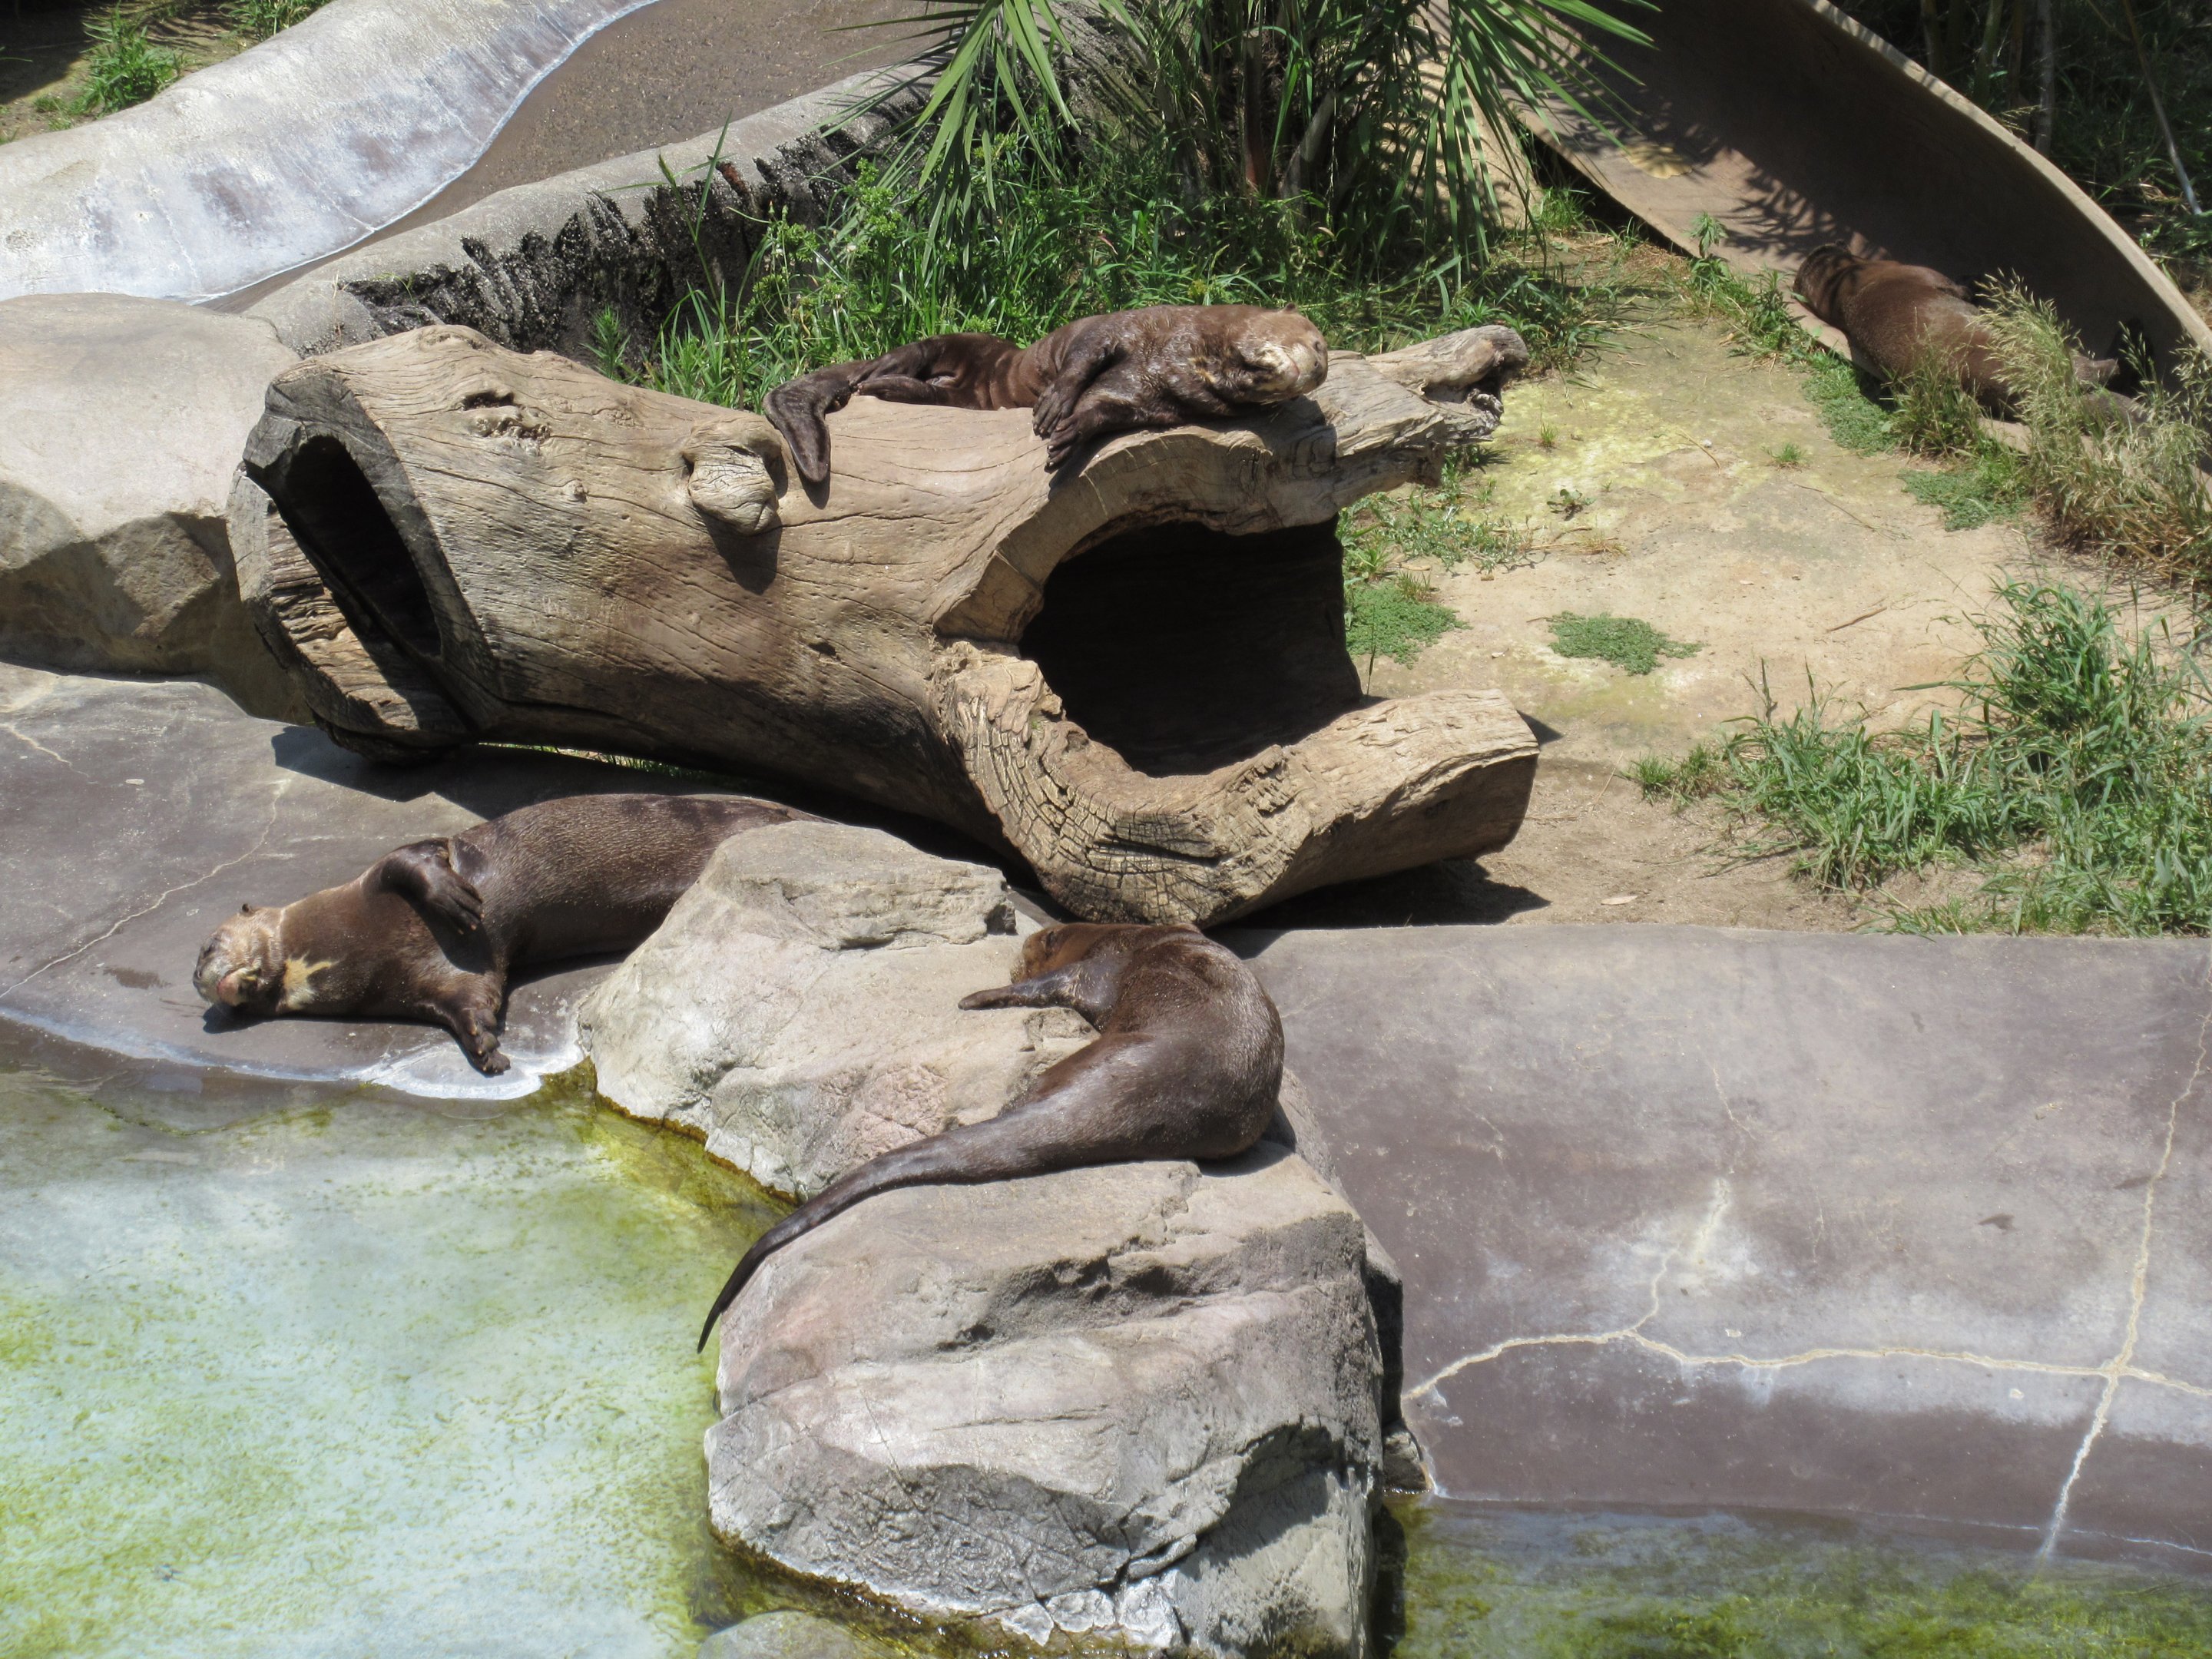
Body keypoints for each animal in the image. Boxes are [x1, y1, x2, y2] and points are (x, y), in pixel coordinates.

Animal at [194, 792, 805, 1073]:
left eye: (206, 946)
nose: (200, 978)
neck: (349, 943)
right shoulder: (434, 981)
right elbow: (470, 1002)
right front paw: (487, 1048)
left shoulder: (380, 877)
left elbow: (414, 858)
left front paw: (457, 900)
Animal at [696, 921, 1284, 1348]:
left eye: (1026, 949)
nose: (1014, 956)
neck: (1122, 932)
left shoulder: (1101, 964)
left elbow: (1056, 986)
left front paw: (974, 997)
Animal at [764, 305, 1329, 485]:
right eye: (1317, 340)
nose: (1319, 365)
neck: (1181, 352)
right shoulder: (1130, 326)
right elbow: (1084, 355)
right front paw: (1056, 404)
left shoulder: (1154, 400)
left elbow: (1108, 411)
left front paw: (1068, 435)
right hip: (962, 343)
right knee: (911, 352)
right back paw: (877, 374)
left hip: (964, 398)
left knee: (931, 393)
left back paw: (888, 386)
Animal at [1793, 244, 2120, 414]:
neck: (1846, 284)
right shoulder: (1922, 271)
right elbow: (1960, 288)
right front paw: (1974, 280)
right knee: (2078, 368)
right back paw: (2111, 365)